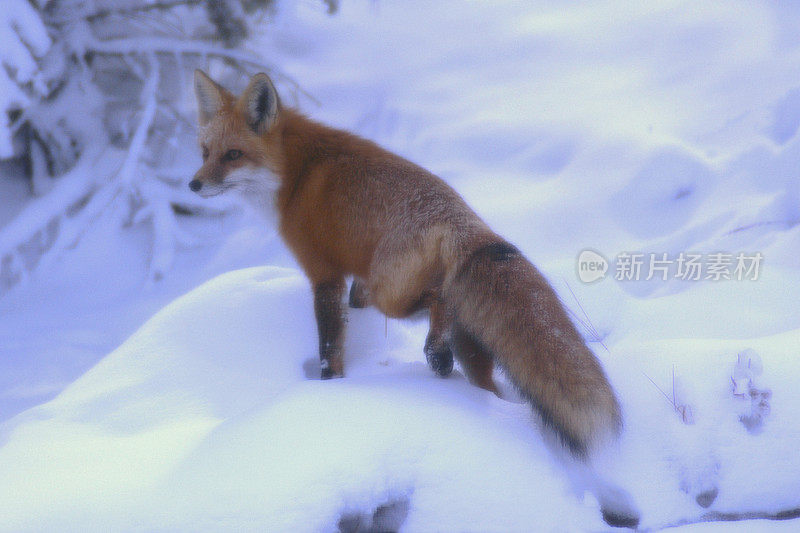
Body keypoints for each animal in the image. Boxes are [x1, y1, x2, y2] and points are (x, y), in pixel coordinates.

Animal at [191, 70, 640, 528]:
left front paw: (330, 389)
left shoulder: (324, 275)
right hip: (466, 345)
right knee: (487, 385)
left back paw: (435, 353)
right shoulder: (354, 280)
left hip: (393, 293)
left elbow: (330, 347)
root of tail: (467, 223)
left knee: (438, 302)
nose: (194, 184)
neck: (297, 174)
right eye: (205, 152)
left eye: (233, 155)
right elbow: (355, 310)